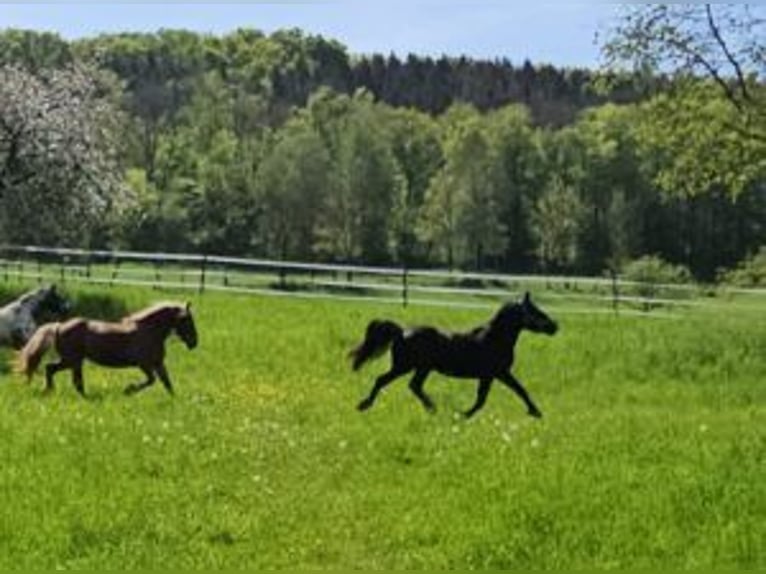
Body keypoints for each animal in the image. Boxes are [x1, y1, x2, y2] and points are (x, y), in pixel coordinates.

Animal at [18, 304, 200, 398]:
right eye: (186, 320)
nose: (194, 342)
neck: (149, 331)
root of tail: (59, 325)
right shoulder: (144, 364)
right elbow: (151, 380)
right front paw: (128, 390)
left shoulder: (158, 363)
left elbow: (167, 383)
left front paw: (175, 400)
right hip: (72, 360)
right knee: (58, 372)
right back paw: (51, 391)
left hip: (73, 361)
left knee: (62, 374)